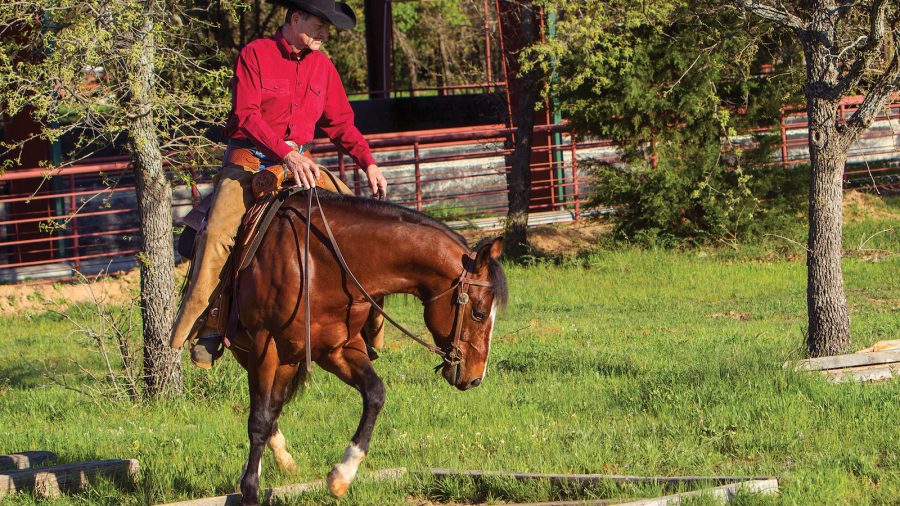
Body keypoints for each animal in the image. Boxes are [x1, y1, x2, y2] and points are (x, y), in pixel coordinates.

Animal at [226, 190, 508, 506]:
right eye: (479, 313)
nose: (475, 378)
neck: (320, 260)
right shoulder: (266, 345)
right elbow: (258, 420)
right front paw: (250, 490)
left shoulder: (336, 349)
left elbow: (375, 393)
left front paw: (342, 475)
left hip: (285, 358)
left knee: (274, 406)